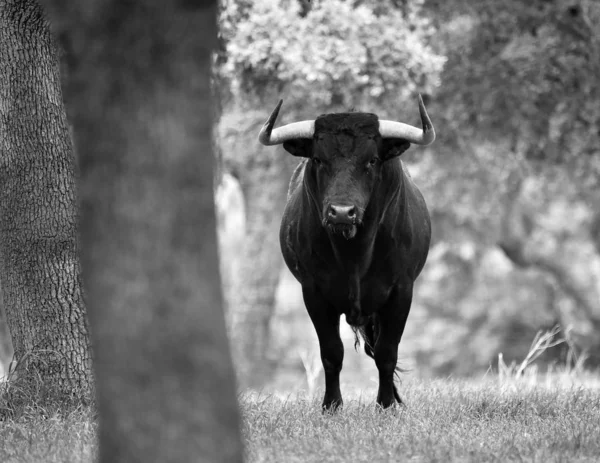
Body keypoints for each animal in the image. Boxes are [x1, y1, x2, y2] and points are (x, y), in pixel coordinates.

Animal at [258, 96, 436, 412]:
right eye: (318, 159)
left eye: (372, 160)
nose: (341, 212)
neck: (355, 255)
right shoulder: (314, 293)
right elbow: (331, 353)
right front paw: (332, 405)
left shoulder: (401, 290)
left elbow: (387, 353)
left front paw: (386, 405)